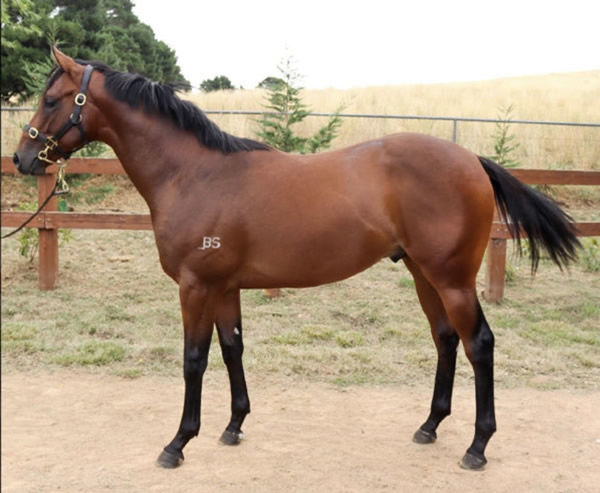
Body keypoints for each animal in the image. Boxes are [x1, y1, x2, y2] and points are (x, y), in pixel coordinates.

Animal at [11, 48, 580, 470]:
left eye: (51, 99)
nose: (21, 157)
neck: (194, 174)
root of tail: (472, 161)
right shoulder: (225, 287)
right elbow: (233, 350)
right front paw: (233, 426)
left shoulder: (196, 286)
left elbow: (194, 360)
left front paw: (177, 444)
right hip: (425, 275)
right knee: (446, 340)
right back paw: (429, 426)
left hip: (452, 278)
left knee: (478, 343)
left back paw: (477, 447)